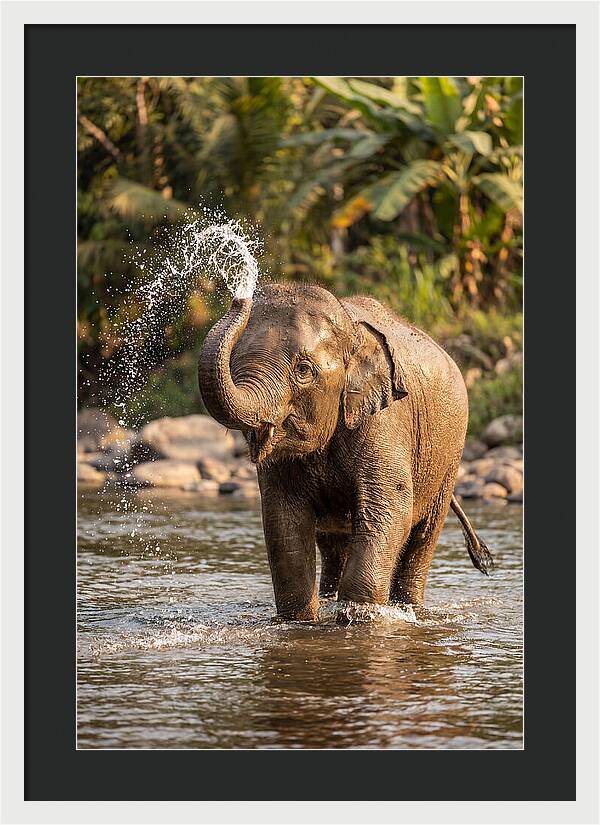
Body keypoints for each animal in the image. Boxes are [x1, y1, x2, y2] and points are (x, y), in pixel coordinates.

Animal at [198, 282, 493, 621]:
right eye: (234, 362)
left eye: (303, 370)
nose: (240, 296)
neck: (352, 332)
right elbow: (283, 520)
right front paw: (302, 620)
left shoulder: (385, 421)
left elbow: (390, 508)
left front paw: (359, 617)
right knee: (332, 542)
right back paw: (330, 598)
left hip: (449, 458)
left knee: (423, 536)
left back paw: (409, 608)